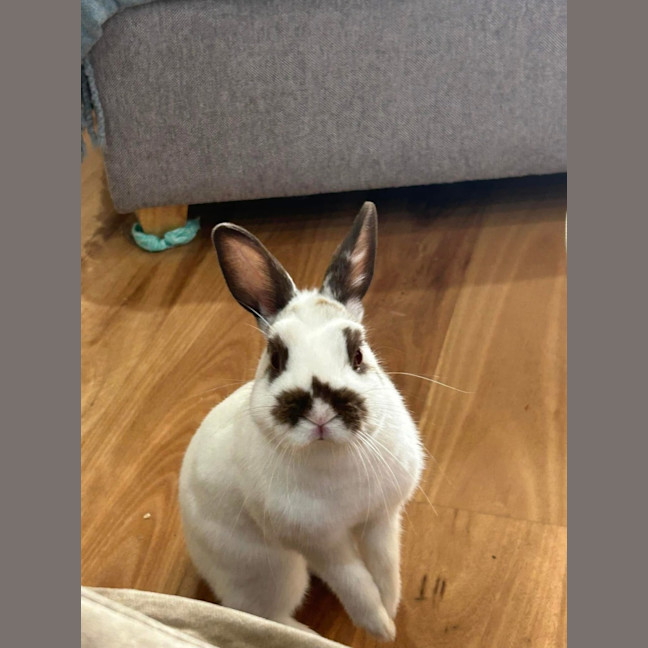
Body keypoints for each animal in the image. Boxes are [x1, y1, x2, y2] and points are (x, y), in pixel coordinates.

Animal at [178, 202, 424, 642]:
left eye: (357, 352)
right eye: (276, 358)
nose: (319, 411)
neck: (334, 457)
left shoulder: (381, 518)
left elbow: (384, 568)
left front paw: (392, 608)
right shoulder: (320, 544)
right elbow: (355, 584)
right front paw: (380, 627)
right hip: (275, 571)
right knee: (263, 615)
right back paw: (314, 638)